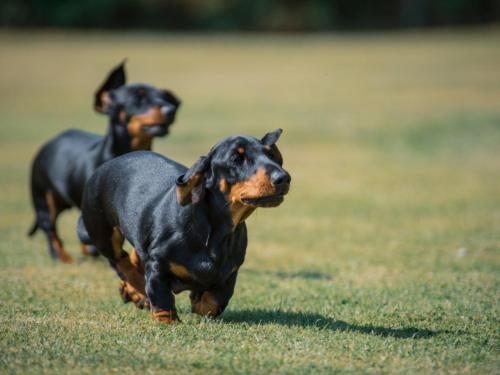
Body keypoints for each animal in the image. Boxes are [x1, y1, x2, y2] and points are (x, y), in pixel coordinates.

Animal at [27, 61, 182, 264]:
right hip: (43, 198)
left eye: (163, 96)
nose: (170, 110)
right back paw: (63, 257)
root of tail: (49, 143)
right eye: (138, 98)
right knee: (51, 230)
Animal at [78, 129, 290, 324]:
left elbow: (216, 299)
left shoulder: (230, 272)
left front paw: (198, 301)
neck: (214, 231)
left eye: (271, 155)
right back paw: (137, 289)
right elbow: (161, 298)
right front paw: (167, 319)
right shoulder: (157, 265)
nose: (284, 178)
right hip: (103, 233)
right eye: (237, 159)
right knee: (119, 260)